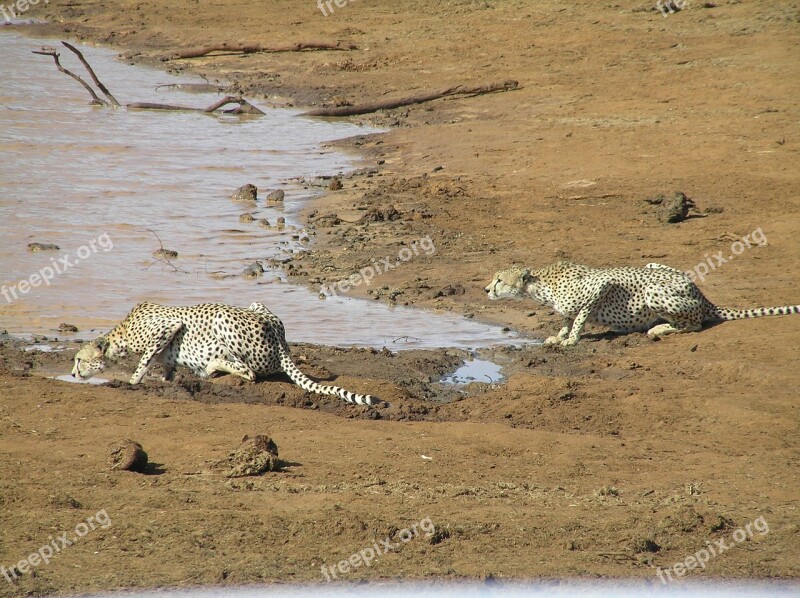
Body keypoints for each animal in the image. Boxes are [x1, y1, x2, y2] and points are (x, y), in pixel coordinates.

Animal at [71, 302, 378, 406]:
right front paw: (164, 380)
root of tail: (280, 341)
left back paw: (215, 367)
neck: (120, 334)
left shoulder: (169, 326)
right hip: (256, 305)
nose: (73, 373)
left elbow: (143, 362)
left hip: (222, 318)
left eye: (78, 359)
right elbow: (165, 368)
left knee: (250, 372)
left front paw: (132, 382)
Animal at [484, 262, 796, 346]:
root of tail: (701, 294)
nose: (486, 288)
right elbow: (565, 317)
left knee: (695, 324)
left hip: (653, 290)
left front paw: (571, 339)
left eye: (499, 279)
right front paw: (558, 335)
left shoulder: (601, 284)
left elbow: (580, 317)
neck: (541, 284)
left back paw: (657, 330)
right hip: (653, 265)